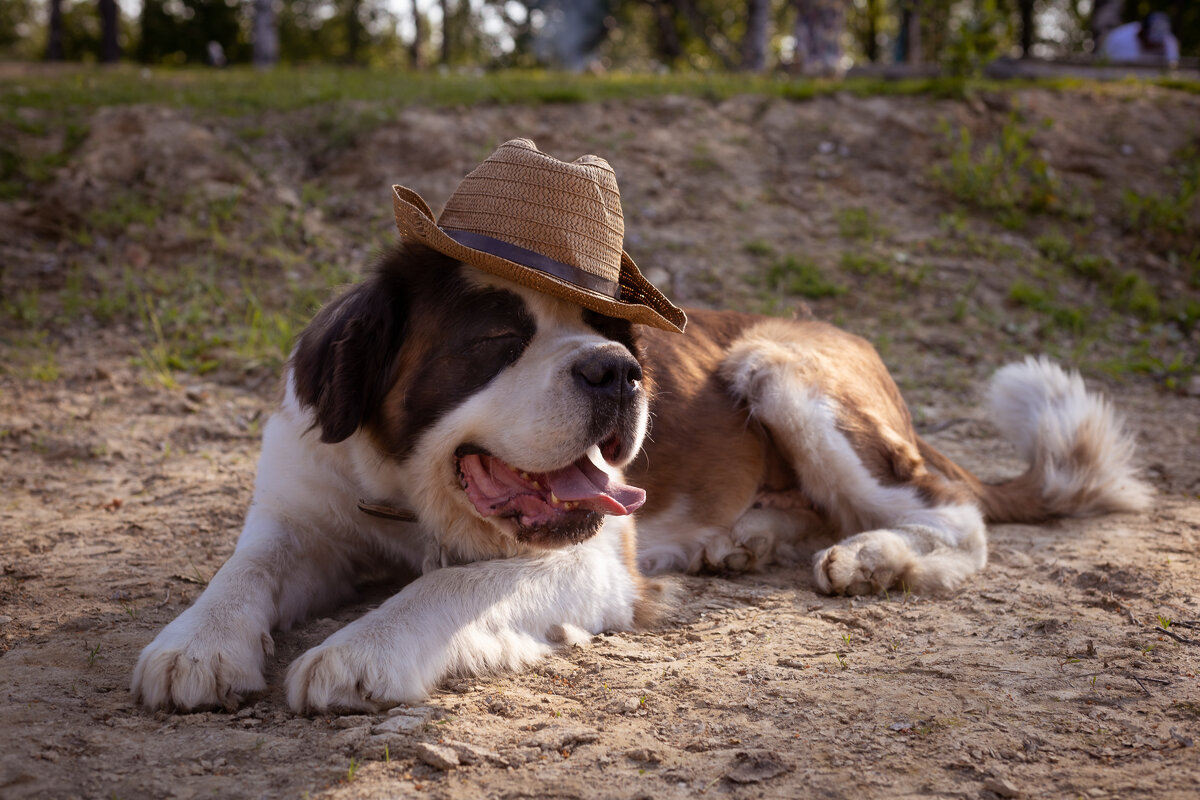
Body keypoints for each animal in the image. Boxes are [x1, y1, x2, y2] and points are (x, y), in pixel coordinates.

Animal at [131, 137, 1152, 714]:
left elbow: (447, 586)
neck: (404, 494)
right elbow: (245, 570)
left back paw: (879, 559)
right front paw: (193, 645)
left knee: (955, 517)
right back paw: (740, 539)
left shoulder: (585, 558)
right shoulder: (301, 507)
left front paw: (356, 652)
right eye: (497, 336)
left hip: (778, 366)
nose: (617, 372)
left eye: (610, 331)